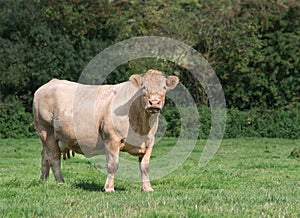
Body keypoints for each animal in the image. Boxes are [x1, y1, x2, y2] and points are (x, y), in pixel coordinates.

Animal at [33, 70, 178, 192]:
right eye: (144, 88)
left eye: (164, 88)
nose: (154, 102)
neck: (140, 126)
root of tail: (52, 82)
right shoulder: (112, 139)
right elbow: (113, 164)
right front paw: (109, 188)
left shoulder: (149, 142)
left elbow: (145, 166)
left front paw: (147, 188)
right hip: (45, 130)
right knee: (54, 157)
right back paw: (60, 181)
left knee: (45, 155)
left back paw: (43, 179)